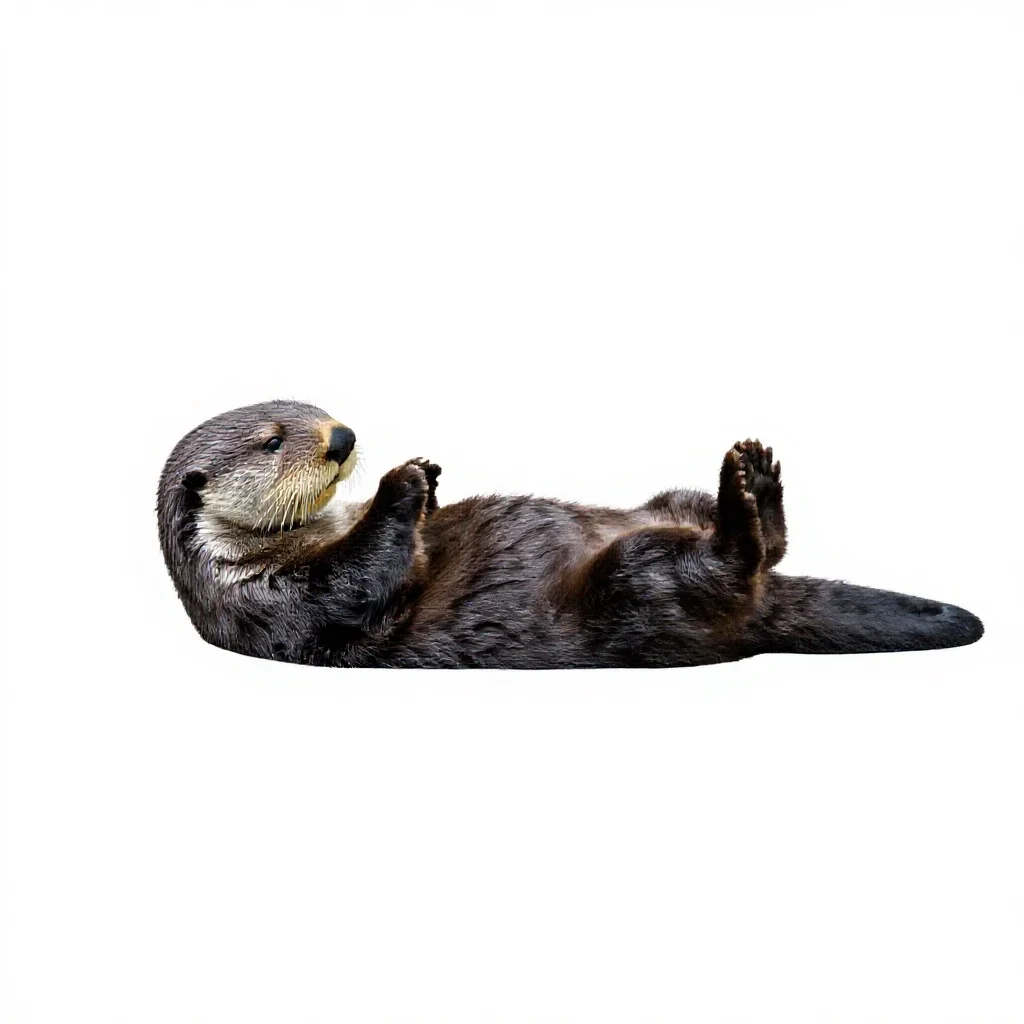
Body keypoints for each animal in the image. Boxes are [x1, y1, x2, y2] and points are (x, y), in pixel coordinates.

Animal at [157, 400, 983, 668]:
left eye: (317, 407)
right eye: (274, 441)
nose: (342, 438)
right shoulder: (279, 607)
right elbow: (361, 583)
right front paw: (406, 483)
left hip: (663, 505)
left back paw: (756, 477)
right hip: (641, 586)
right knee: (729, 566)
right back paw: (744, 504)